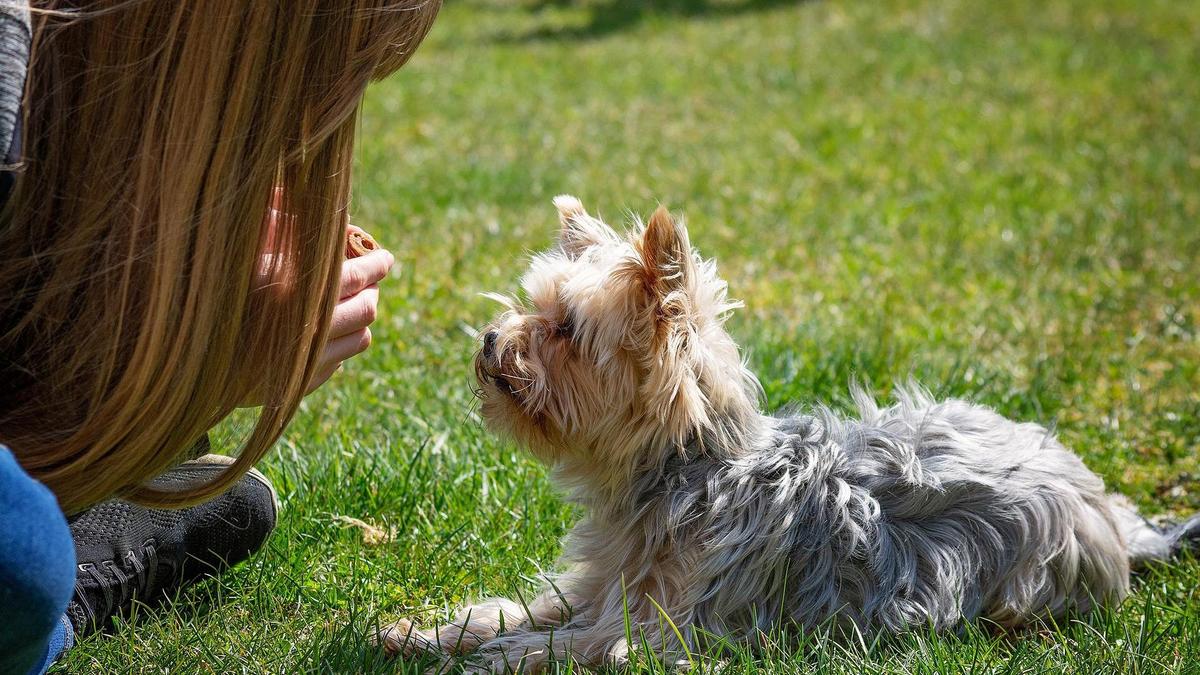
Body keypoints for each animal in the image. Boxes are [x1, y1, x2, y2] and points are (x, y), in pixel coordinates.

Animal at [384, 194, 1200, 667]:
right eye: (532, 306)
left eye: (564, 330)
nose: (491, 339)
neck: (684, 470)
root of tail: (1110, 512)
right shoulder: (597, 585)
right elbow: (521, 610)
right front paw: (426, 632)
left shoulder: (660, 631)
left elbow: (562, 644)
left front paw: (478, 658)